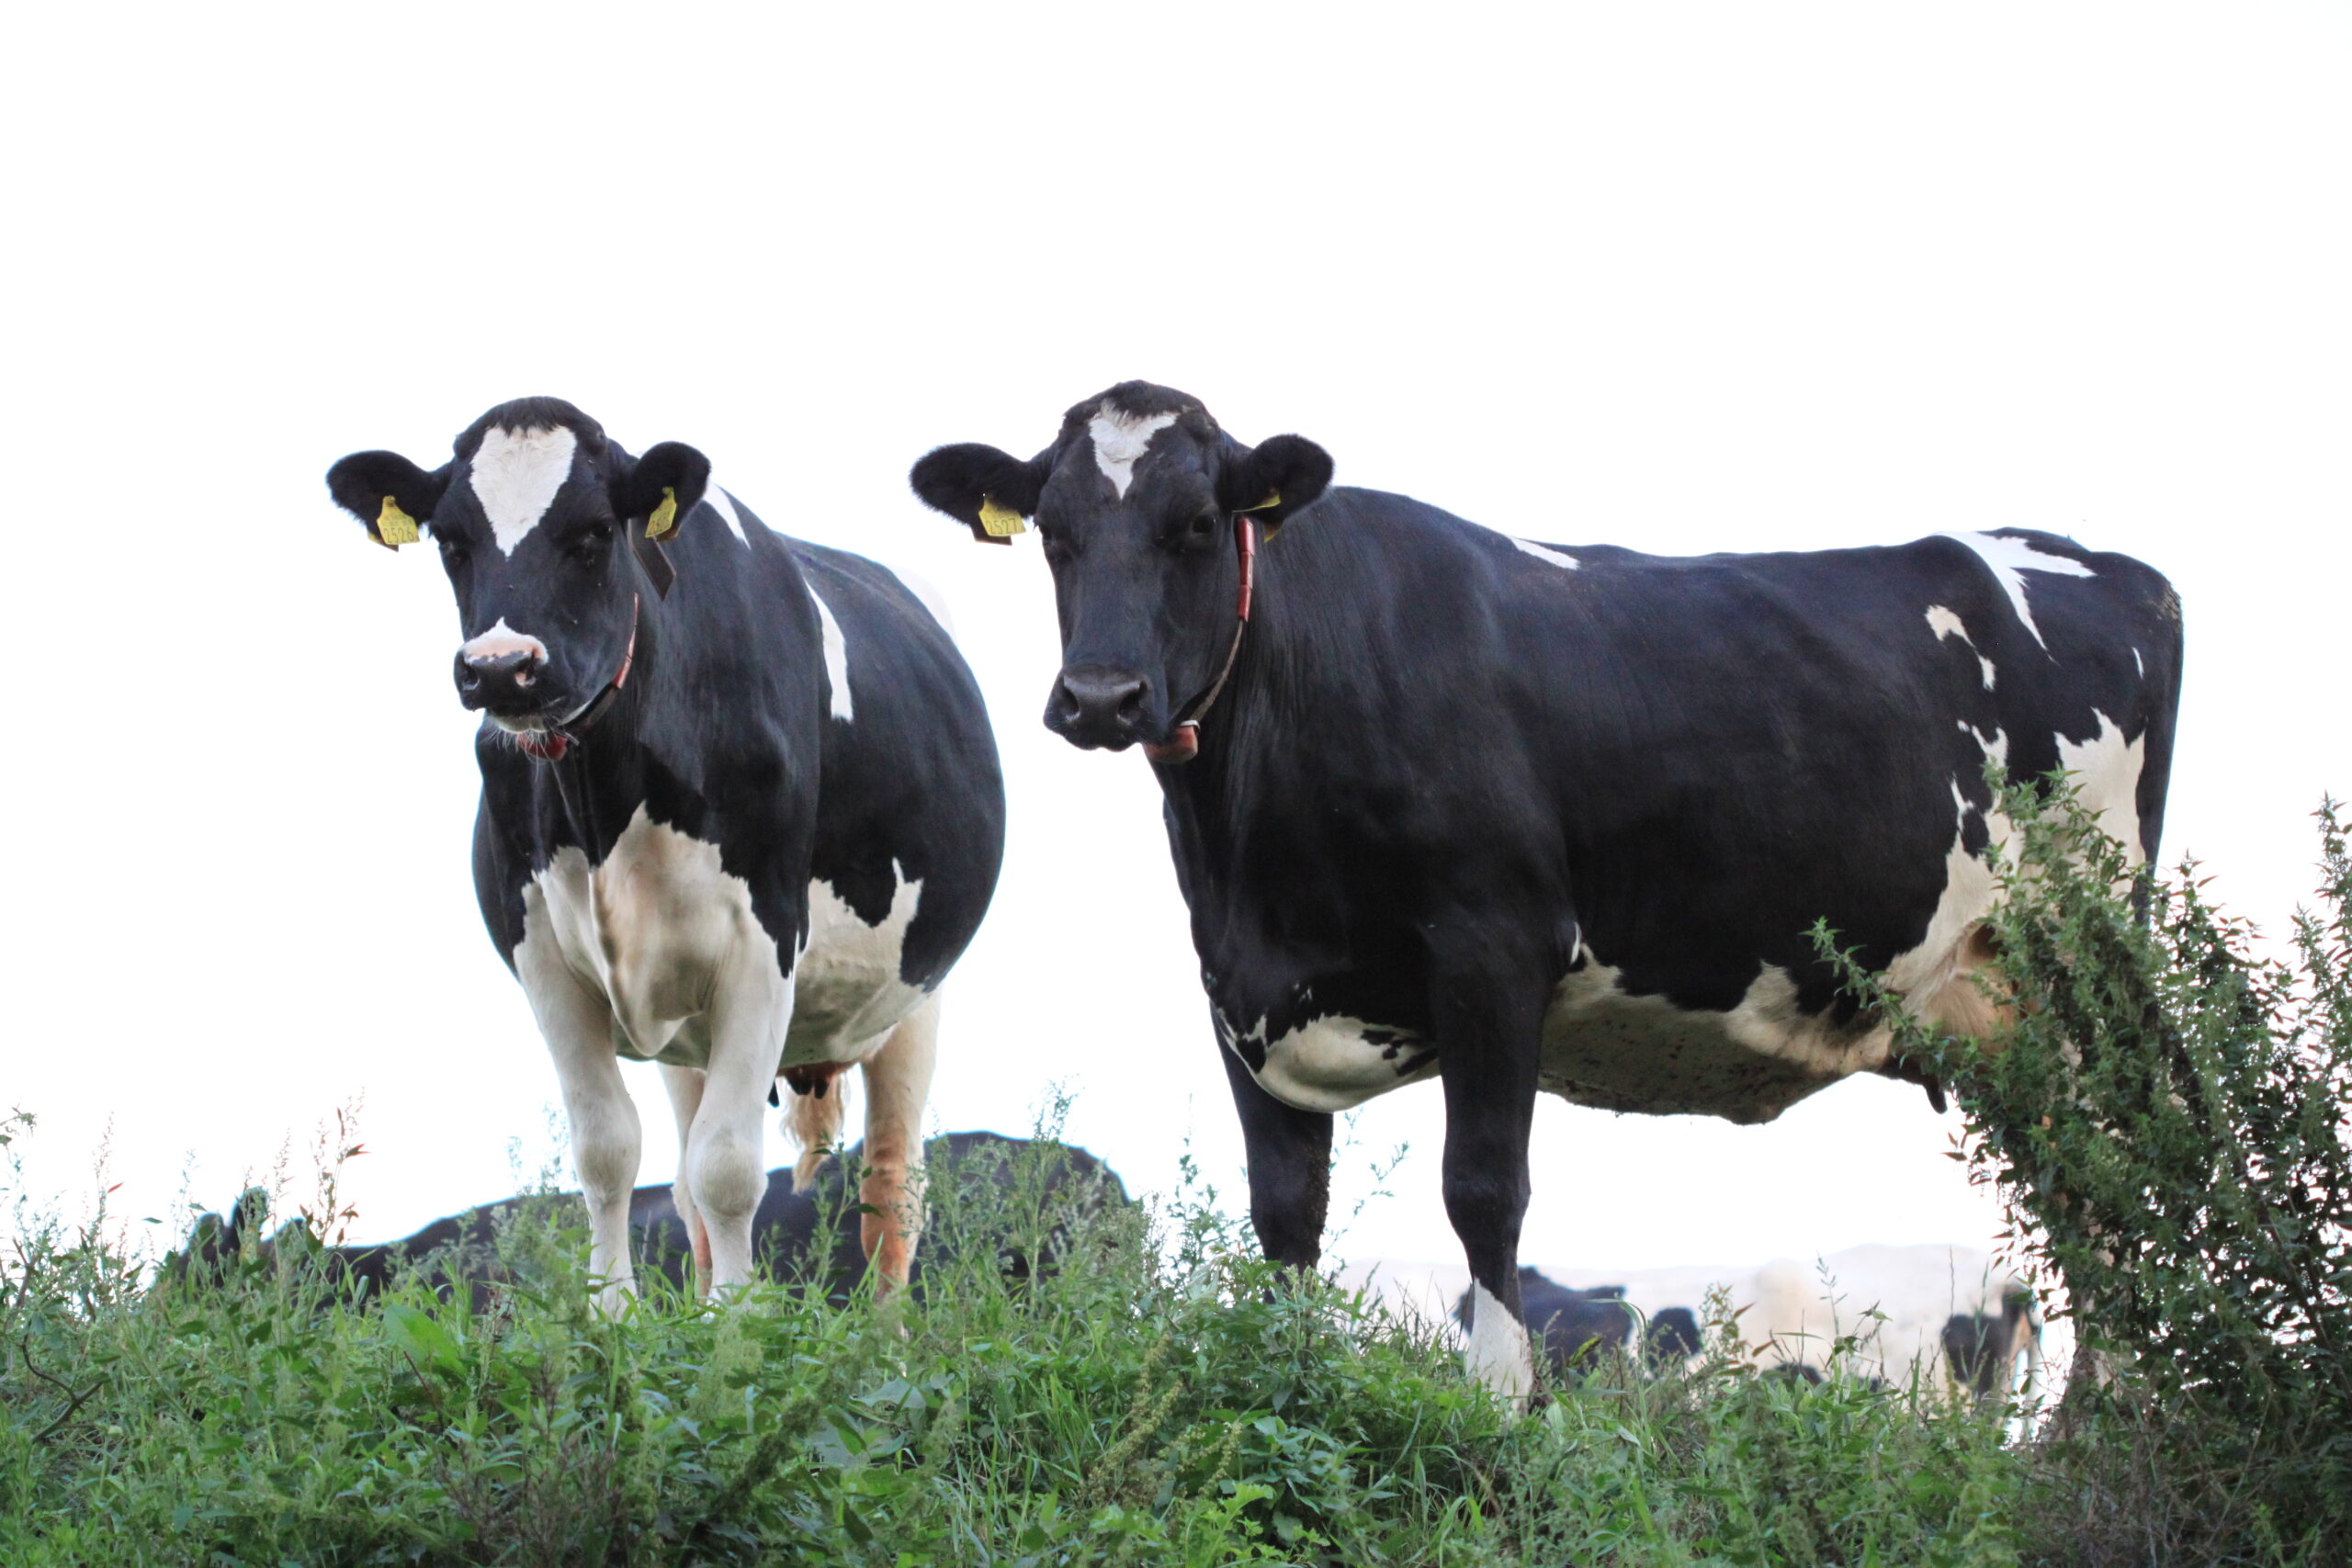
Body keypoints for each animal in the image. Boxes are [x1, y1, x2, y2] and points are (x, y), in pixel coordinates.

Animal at [325, 398, 1004, 1312]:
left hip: (915, 995)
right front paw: (615, 1316)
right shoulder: (542, 954)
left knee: (891, 1187)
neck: (603, 802)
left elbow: (730, 1166)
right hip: (690, 1027)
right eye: (452, 541)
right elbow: (610, 1148)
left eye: (592, 533)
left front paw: (738, 1323)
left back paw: (886, 1336)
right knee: (684, 1176)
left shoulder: (764, 939)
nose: (501, 669)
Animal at [910, 380, 2180, 1399]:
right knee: (2085, 1214)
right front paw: (1292, 1378)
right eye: (1054, 534)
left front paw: (1499, 1403)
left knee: (2126, 1198)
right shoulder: (1238, 985)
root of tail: (2100, 564)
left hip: (2083, 975)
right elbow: (1284, 1211)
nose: (1101, 697)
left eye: (1194, 525)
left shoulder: (1494, 946)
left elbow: (1482, 1188)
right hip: (1999, 1024)